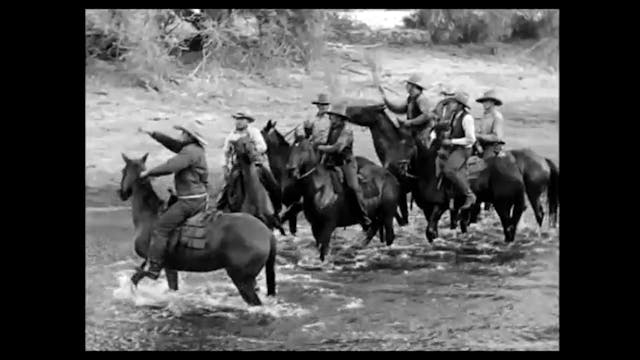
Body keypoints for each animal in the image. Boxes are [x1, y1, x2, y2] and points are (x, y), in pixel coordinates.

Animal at [119, 153, 276, 306]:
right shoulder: (170, 267)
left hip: (242, 280)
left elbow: (136, 278)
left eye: (123, 171)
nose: (121, 193)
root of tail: (267, 233)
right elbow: (171, 286)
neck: (150, 215)